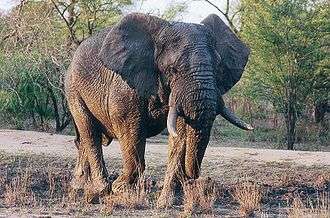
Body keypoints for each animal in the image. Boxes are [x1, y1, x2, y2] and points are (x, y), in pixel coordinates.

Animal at [64, 12, 253, 207]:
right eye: (173, 70)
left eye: (218, 68)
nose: (192, 176)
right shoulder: (125, 86)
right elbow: (131, 130)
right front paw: (121, 189)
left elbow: (180, 136)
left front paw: (167, 202)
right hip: (73, 89)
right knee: (89, 132)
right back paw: (99, 189)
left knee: (86, 138)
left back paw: (80, 185)